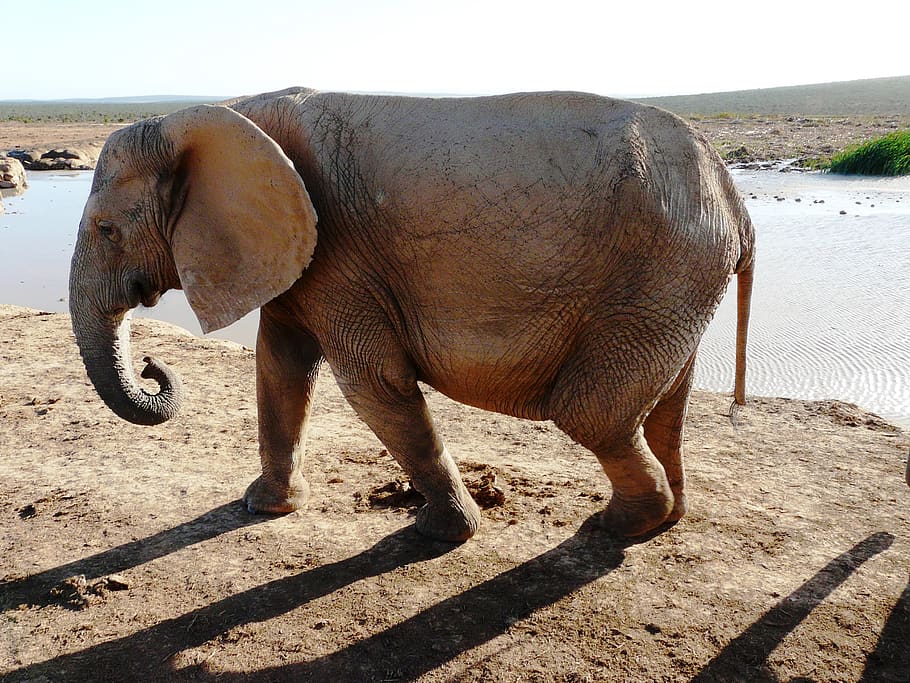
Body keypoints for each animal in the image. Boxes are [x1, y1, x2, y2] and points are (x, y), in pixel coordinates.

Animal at [69, 87, 756, 544]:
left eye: (106, 230)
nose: (153, 364)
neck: (208, 116)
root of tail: (731, 192)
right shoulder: (296, 250)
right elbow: (279, 366)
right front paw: (264, 508)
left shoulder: (339, 252)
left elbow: (372, 381)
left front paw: (441, 532)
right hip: (675, 284)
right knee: (665, 407)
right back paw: (664, 521)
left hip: (662, 270)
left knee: (591, 410)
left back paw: (613, 525)